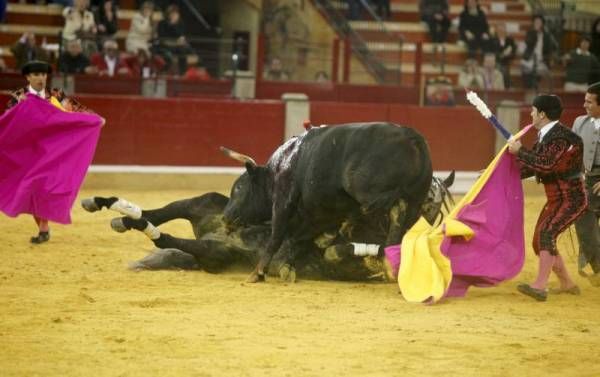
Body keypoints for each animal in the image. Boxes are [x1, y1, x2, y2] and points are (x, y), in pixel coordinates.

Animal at [223, 122, 434, 282]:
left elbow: (277, 237)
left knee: (396, 208)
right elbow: (297, 240)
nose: (225, 218)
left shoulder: (283, 203)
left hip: (364, 190)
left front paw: (257, 273)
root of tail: (411, 136)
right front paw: (287, 267)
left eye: (239, 188)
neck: (278, 169)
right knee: (405, 226)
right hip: (416, 201)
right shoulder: (318, 215)